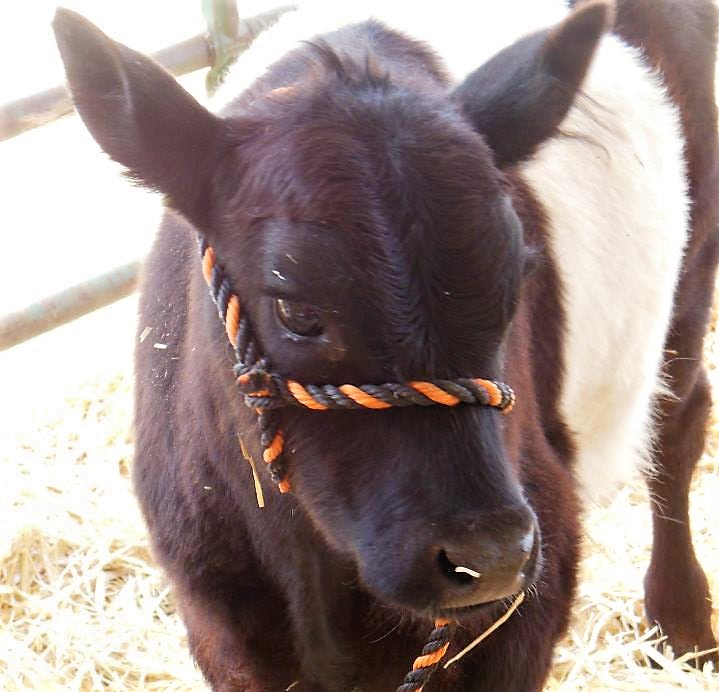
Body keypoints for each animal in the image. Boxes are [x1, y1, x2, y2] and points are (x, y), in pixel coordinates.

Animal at [53, 0, 718, 689]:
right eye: (295, 308)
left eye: (516, 280)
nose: (489, 555)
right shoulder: (219, 618)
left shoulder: (537, 584)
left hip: (692, 262)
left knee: (678, 421)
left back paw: (682, 622)